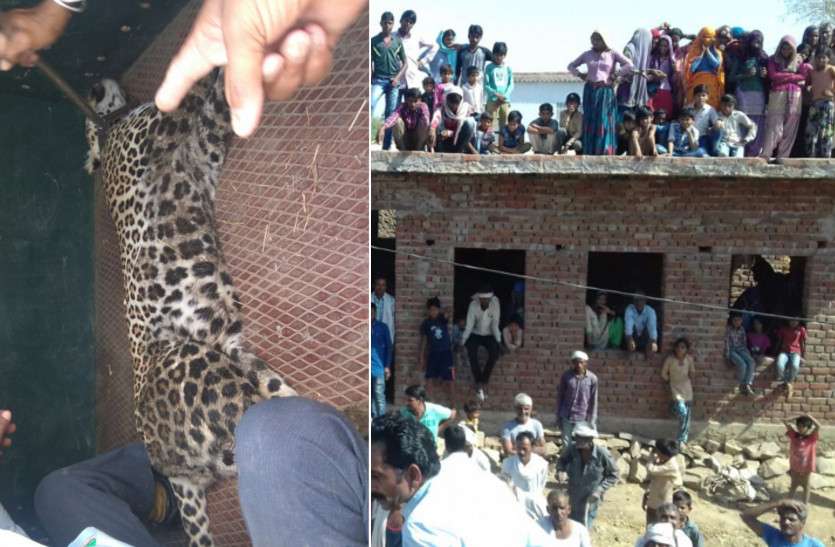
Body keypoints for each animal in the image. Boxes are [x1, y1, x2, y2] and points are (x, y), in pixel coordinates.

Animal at [86, 69, 296, 547]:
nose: (92, 85)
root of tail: (162, 462)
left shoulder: (207, 146)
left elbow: (215, 98)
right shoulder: (172, 131)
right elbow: (195, 91)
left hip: (242, 362)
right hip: (203, 372)